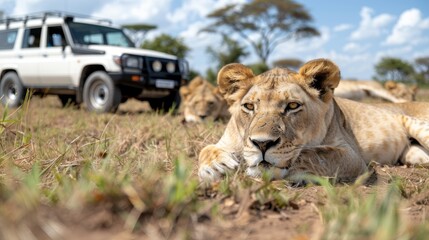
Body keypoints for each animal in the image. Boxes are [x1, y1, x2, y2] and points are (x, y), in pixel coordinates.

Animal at [199, 58, 428, 182]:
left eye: (292, 106)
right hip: (412, 154)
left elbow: (314, 154)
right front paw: (215, 166)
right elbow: (206, 149)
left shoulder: (351, 155)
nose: (262, 144)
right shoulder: (226, 140)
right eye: (249, 106)